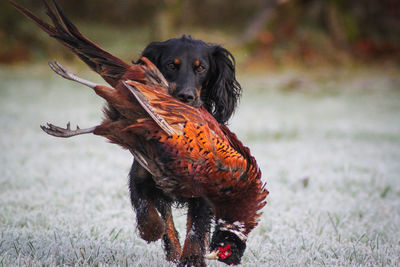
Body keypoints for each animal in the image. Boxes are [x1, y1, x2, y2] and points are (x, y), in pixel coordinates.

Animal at [130, 35, 241, 266]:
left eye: (201, 68)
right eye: (171, 65)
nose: (186, 96)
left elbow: (197, 228)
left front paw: (191, 258)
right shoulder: (140, 176)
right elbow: (150, 212)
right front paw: (151, 230)